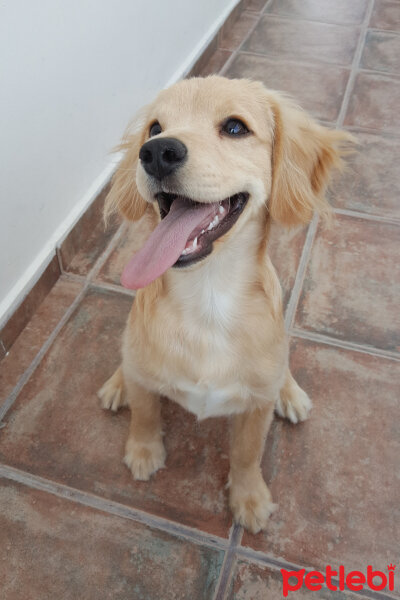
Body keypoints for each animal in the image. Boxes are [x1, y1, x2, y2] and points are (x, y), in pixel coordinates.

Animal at [97, 76, 354, 536]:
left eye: (235, 128)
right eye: (154, 128)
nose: (156, 152)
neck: (208, 299)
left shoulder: (255, 409)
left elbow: (247, 454)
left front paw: (249, 498)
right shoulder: (145, 377)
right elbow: (145, 414)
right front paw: (143, 452)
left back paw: (290, 393)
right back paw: (117, 383)